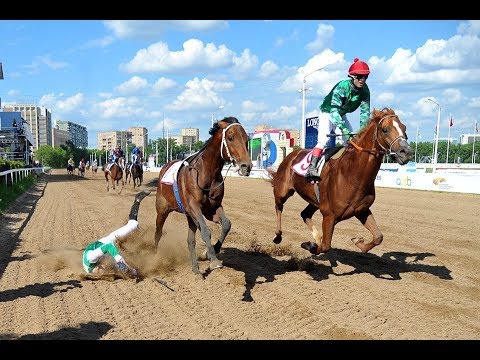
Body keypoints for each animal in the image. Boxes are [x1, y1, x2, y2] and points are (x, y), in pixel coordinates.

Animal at [155, 116, 253, 278]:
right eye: (231, 137)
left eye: (246, 139)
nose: (247, 166)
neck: (206, 173)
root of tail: (164, 168)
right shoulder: (194, 207)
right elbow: (206, 231)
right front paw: (213, 259)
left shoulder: (212, 208)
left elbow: (226, 224)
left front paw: (209, 252)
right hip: (162, 210)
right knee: (158, 232)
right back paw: (154, 256)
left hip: (189, 216)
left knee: (190, 240)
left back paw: (196, 269)